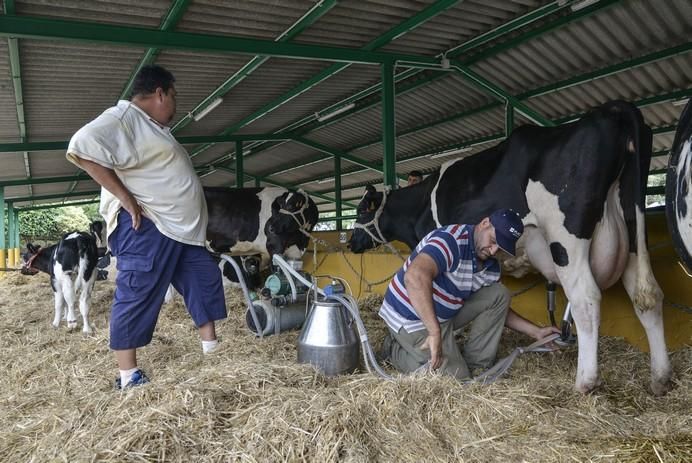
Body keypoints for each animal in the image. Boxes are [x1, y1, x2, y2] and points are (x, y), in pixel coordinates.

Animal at [352, 100, 672, 396]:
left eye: (361, 211)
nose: (351, 241)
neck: (419, 204)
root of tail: (614, 109)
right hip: (633, 228)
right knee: (648, 295)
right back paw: (660, 379)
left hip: (566, 238)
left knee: (586, 299)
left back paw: (585, 382)